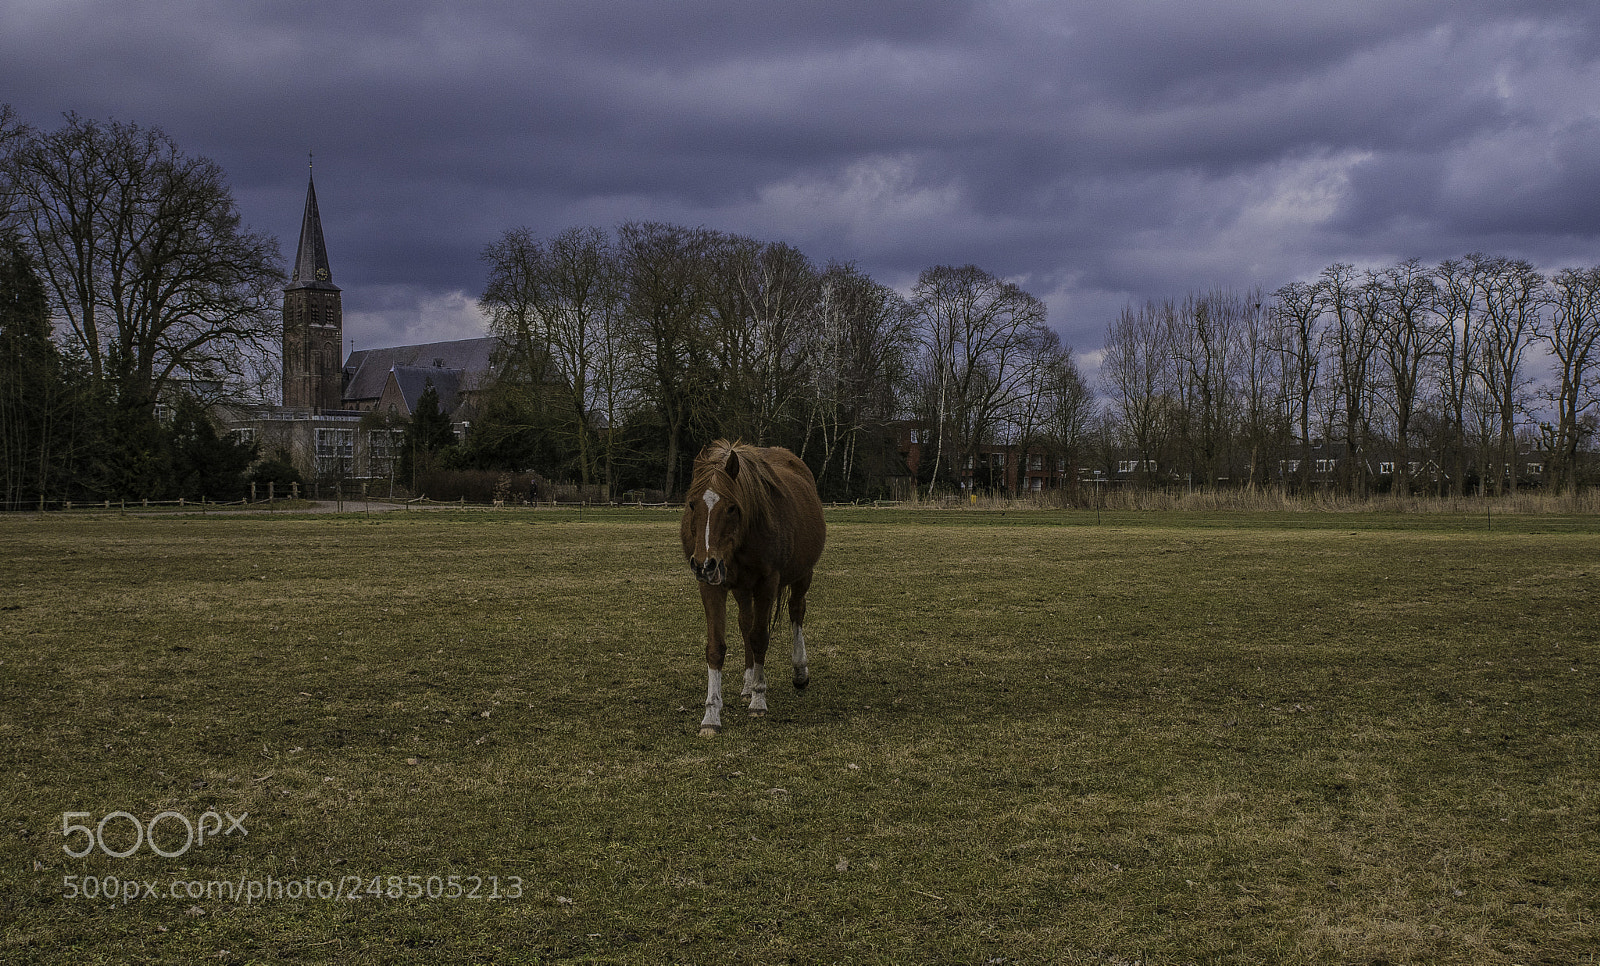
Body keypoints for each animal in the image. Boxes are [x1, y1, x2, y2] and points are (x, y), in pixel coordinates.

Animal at [680, 440, 826, 737]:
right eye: (692, 503)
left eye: (731, 507)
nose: (704, 564)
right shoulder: (712, 586)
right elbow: (717, 647)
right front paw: (711, 715)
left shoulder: (767, 582)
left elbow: (760, 638)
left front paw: (759, 700)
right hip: (741, 589)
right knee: (746, 622)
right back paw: (747, 684)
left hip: (802, 575)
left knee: (796, 612)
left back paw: (799, 672)